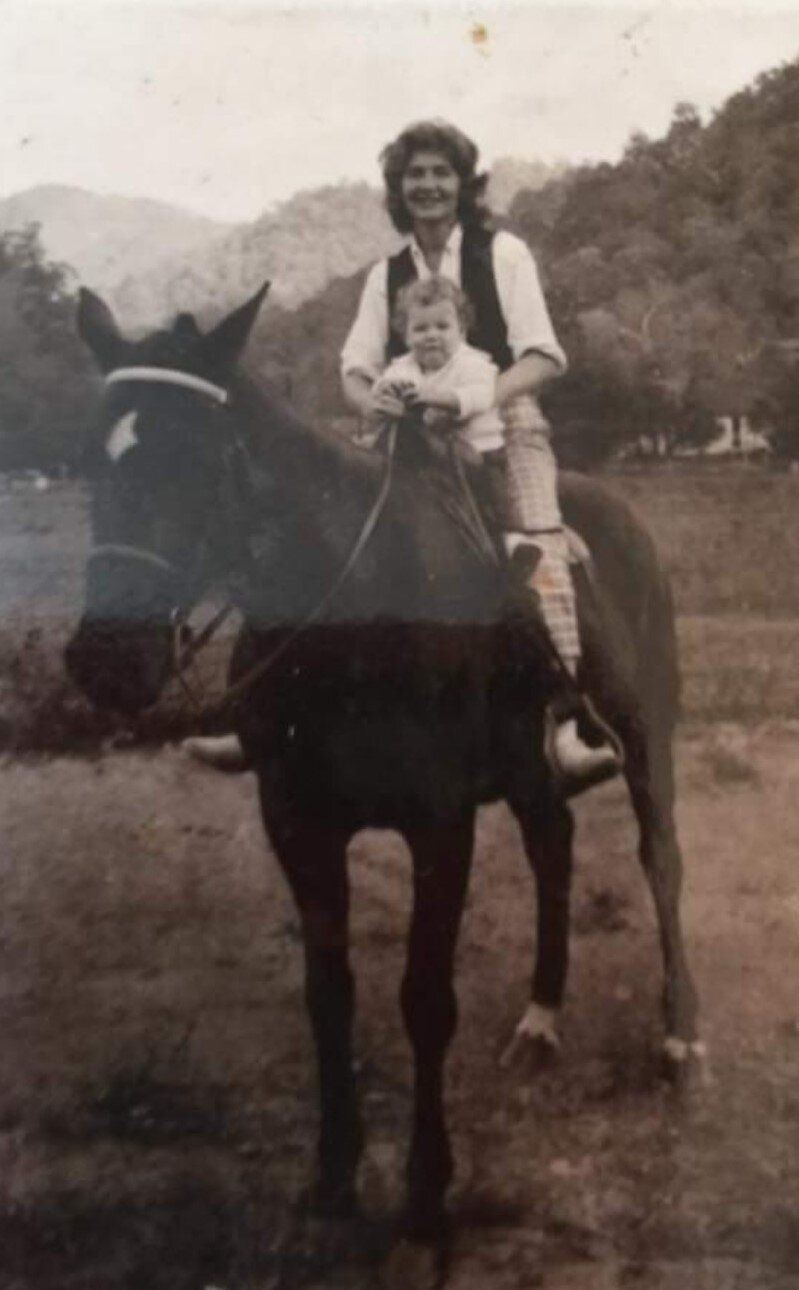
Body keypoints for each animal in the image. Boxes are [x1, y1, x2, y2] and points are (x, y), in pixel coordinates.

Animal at [68, 285, 702, 1279]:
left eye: (196, 457)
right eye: (96, 454)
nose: (104, 660)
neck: (353, 606)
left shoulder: (438, 824)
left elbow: (423, 1000)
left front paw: (423, 1198)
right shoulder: (296, 822)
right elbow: (328, 995)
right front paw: (333, 1176)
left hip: (644, 741)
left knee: (659, 862)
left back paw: (678, 1033)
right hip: (527, 769)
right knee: (553, 850)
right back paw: (540, 1018)